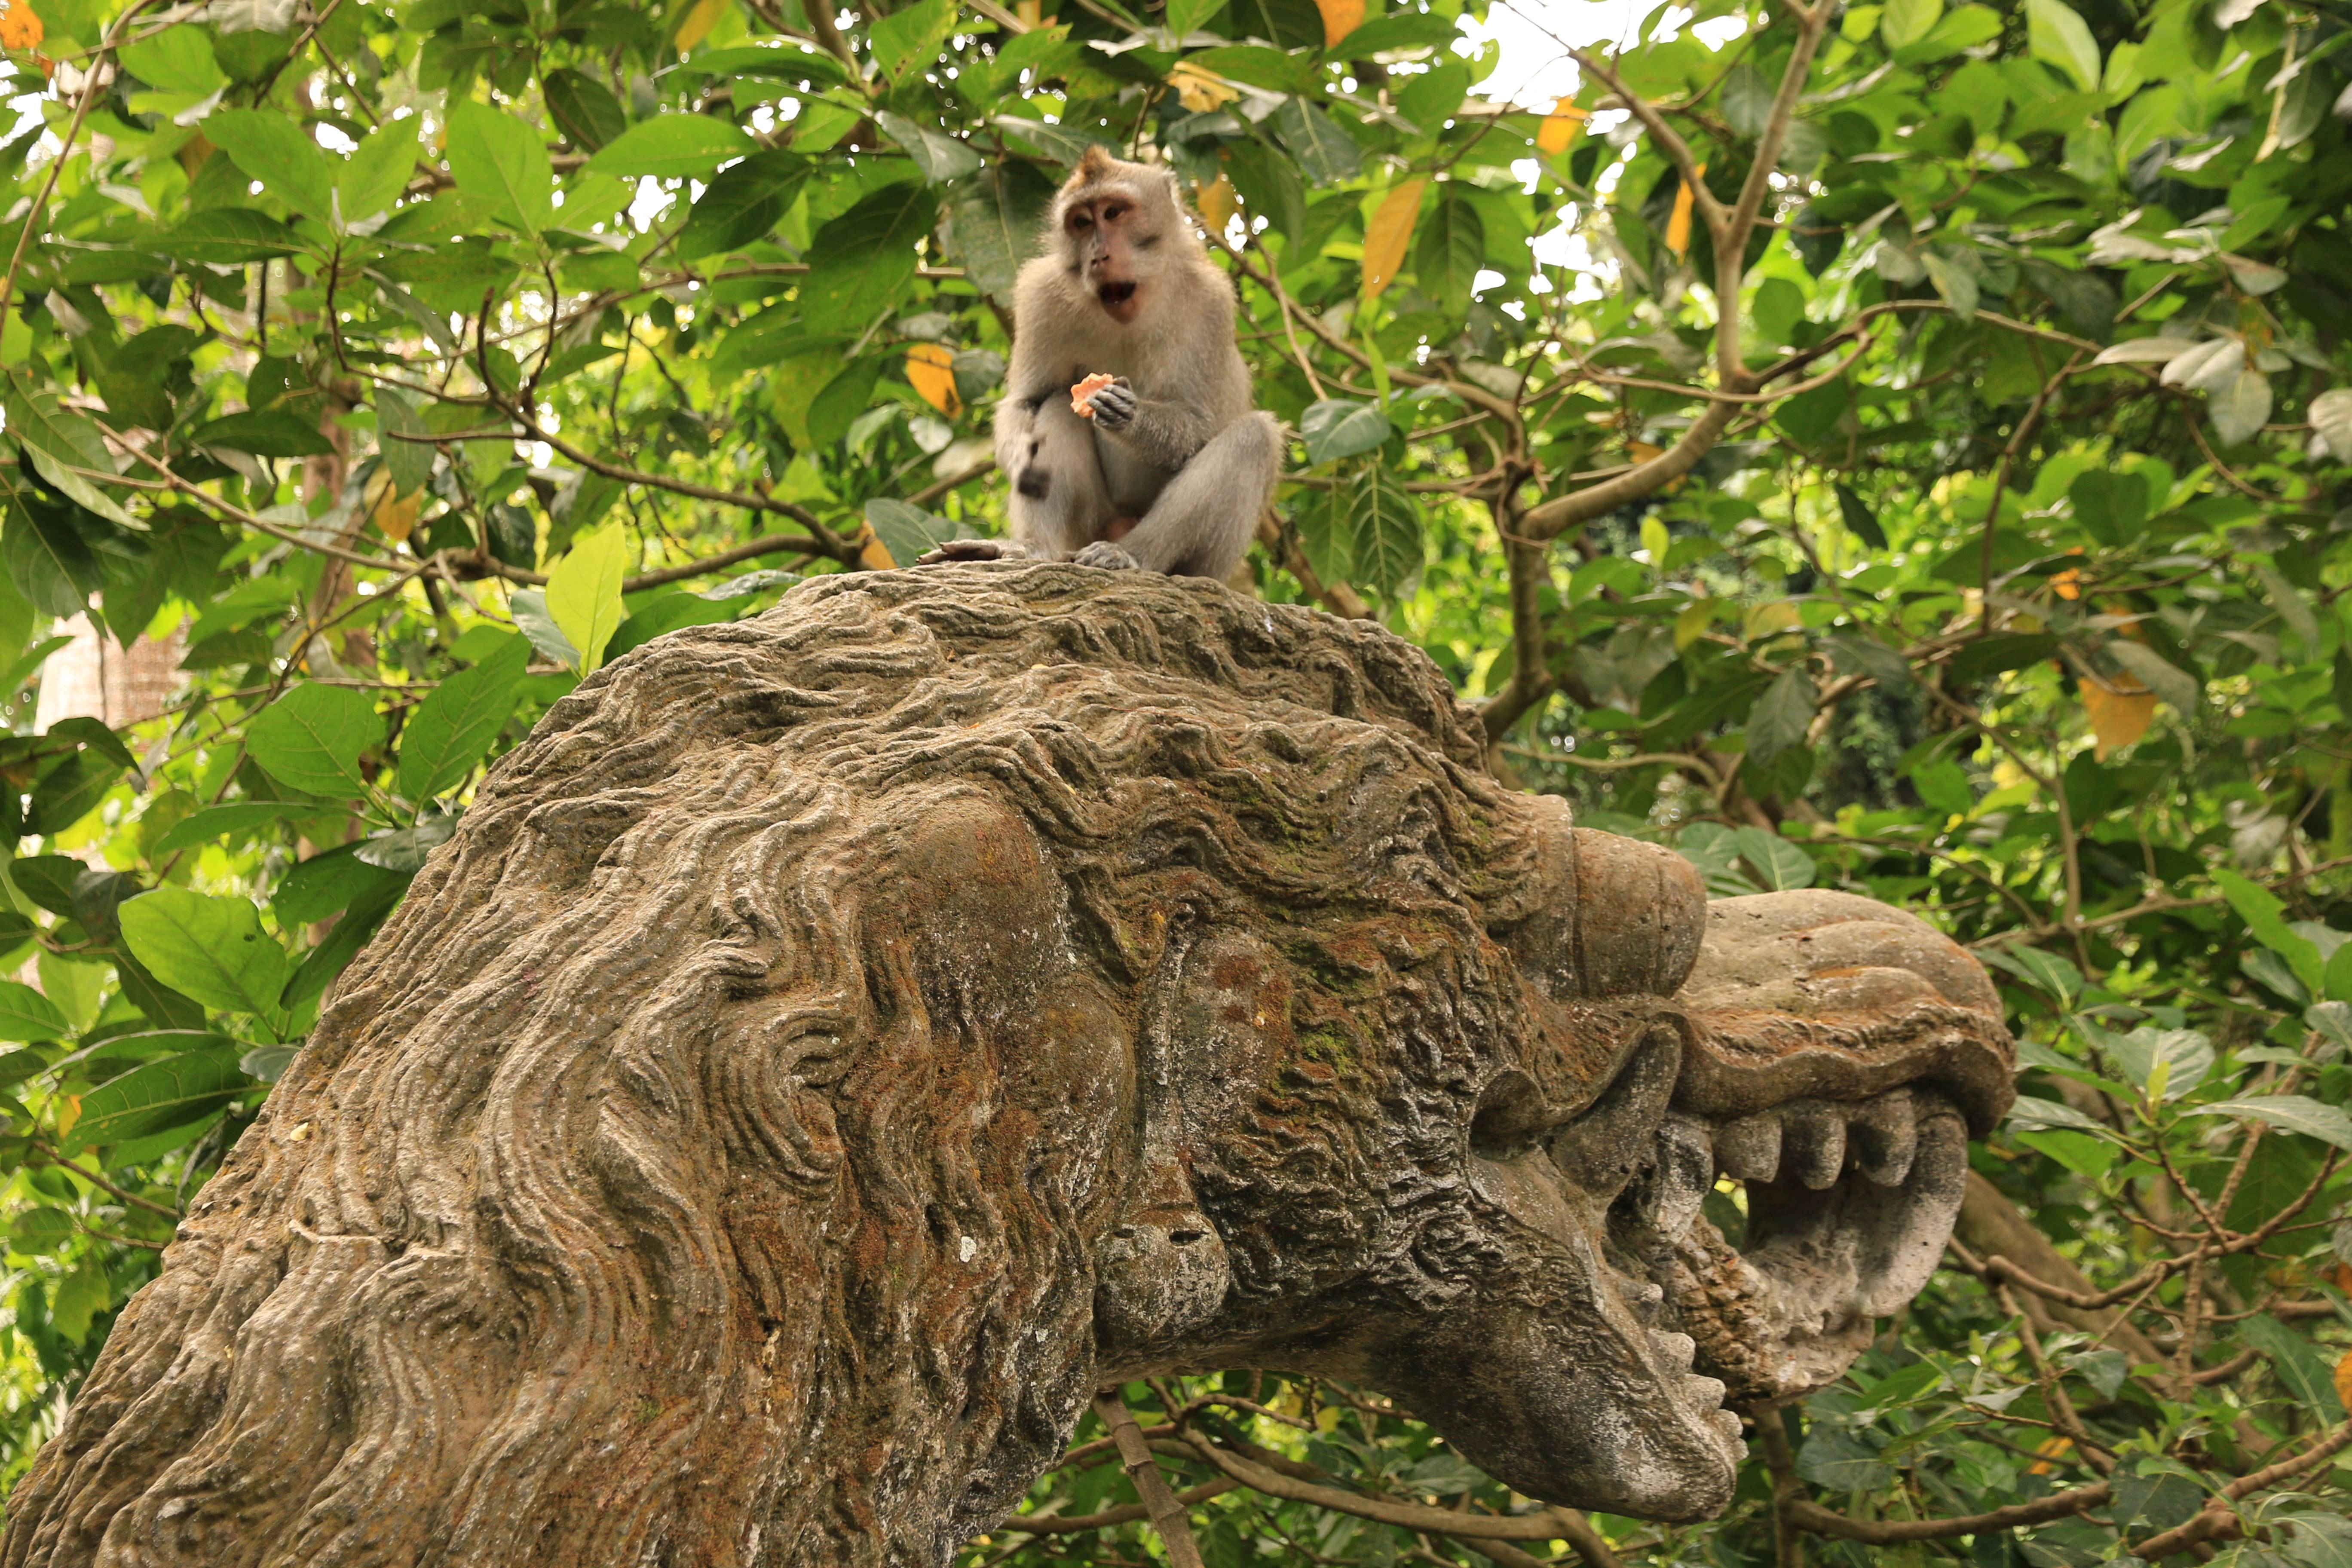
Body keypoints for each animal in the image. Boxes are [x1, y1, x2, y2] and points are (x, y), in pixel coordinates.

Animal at [920, 146, 1281, 579]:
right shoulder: (1041, 296)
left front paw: (1132, 417)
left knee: (1255, 437)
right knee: (1059, 402)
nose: (1099, 256)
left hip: (1209, 566)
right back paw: (1032, 548)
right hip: (1087, 525)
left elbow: (1198, 424)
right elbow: (1026, 401)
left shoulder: (1212, 302)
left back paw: (1130, 554)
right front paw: (1024, 456)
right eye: (1081, 222)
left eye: (1113, 213)